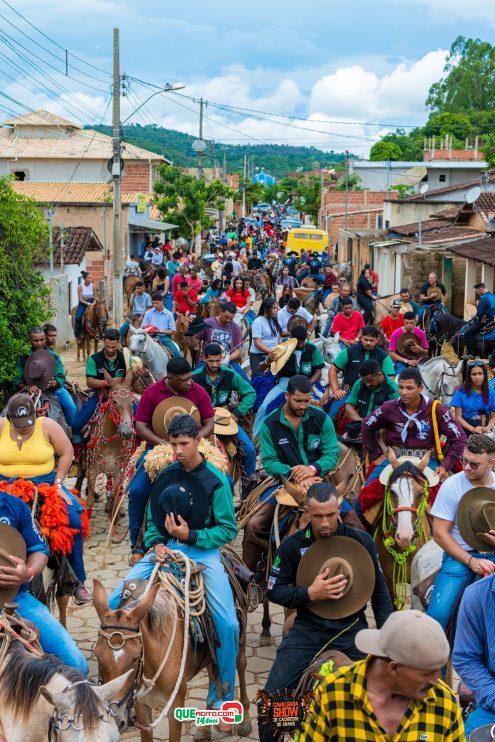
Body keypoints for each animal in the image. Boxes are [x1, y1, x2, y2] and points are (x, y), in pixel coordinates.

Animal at [93, 568, 254, 740]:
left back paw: (244, 720)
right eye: (98, 656)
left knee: (241, 666)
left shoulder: (176, 703)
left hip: (238, 639)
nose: (115, 719)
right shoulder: (141, 705)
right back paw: (206, 727)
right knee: (213, 673)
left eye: (135, 659)